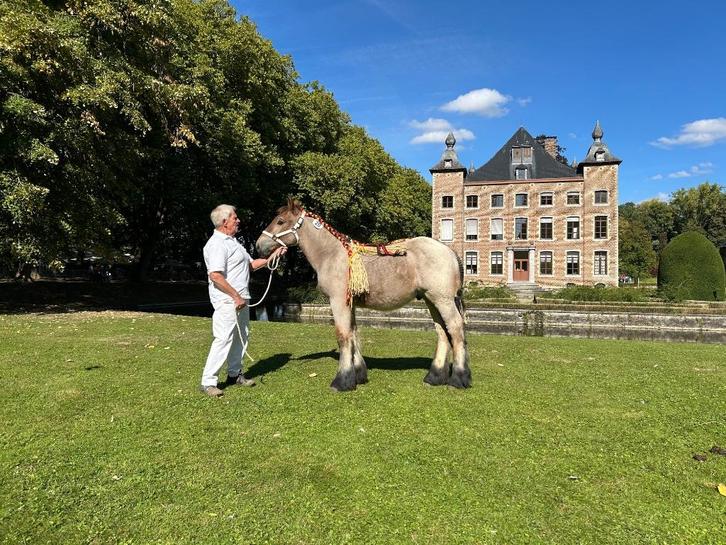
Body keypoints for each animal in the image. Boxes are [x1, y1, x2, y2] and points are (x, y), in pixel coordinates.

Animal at [255, 199, 471, 392]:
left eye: (280, 221)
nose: (258, 245)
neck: (331, 255)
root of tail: (449, 251)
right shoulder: (349, 304)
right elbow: (353, 334)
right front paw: (358, 375)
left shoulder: (338, 302)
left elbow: (343, 336)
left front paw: (342, 381)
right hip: (431, 300)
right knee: (442, 332)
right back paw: (434, 377)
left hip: (443, 300)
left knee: (455, 329)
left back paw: (458, 378)